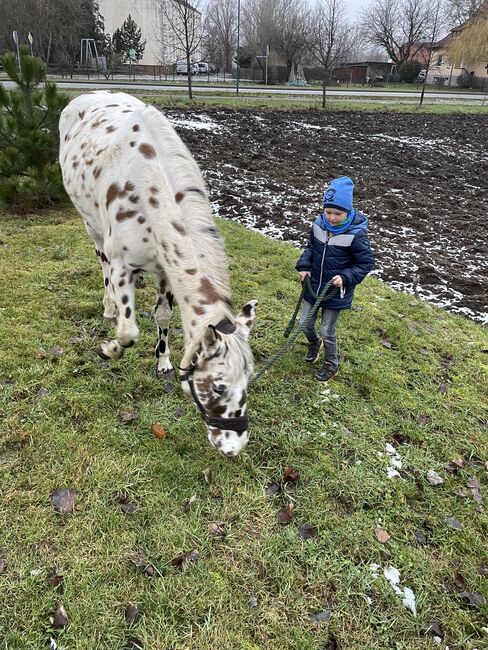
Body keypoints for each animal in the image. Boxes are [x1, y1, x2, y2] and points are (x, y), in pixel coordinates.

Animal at [59, 91, 258, 456]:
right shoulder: (121, 264)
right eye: (218, 387)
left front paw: (163, 360)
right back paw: (109, 307)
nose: (234, 447)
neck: (147, 191)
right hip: (91, 223)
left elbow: (163, 316)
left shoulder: (166, 269)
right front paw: (110, 348)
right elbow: (129, 332)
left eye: (247, 380)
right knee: (100, 260)